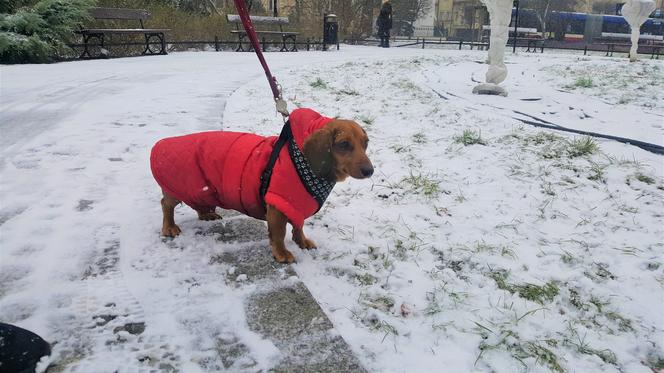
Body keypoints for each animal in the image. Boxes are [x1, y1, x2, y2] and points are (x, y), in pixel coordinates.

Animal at [152, 109, 374, 264]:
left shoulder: (296, 206)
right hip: (181, 188)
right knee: (165, 205)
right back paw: (169, 227)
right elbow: (279, 234)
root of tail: (160, 144)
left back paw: (206, 214)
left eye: (366, 143)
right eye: (344, 144)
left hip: (200, 191)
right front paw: (282, 253)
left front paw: (302, 242)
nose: (370, 171)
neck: (301, 161)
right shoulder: (277, 207)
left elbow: (299, 226)